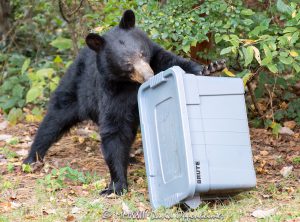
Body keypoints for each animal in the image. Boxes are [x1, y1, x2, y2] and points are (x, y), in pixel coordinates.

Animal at [24, 10, 225, 194]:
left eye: (142, 53)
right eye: (127, 64)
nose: (149, 76)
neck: (131, 84)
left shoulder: (158, 58)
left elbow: (178, 63)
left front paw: (212, 67)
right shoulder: (111, 92)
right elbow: (115, 129)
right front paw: (116, 185)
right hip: (74, 88)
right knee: (54, 120)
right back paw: (32, 158)